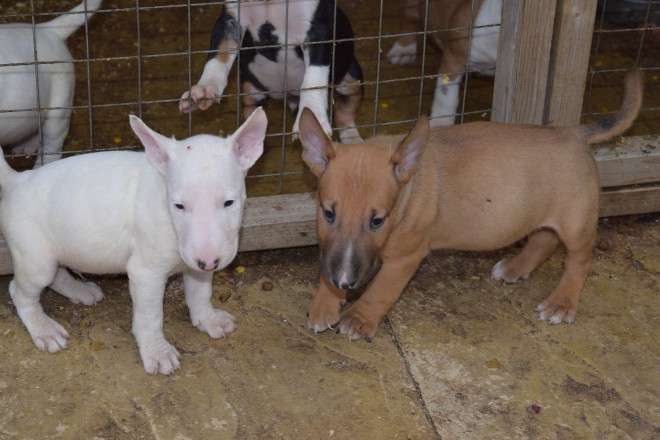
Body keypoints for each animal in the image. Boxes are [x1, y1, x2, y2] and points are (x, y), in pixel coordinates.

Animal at [0, 107, 268, 374]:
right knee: (19, 291)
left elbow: (200, 292)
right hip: (35, 258)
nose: (209, 263)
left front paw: (209, 319)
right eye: (179, 205)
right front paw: (158, 352)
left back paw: (80, 290)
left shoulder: (194, 260)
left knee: (57, 274)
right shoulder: (144, 273)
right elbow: (150, 316)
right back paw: (45, 330)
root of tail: (18, 180)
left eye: (229, 202)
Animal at [178, 0, 364, 142]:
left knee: (345, 113)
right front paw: (204, 89)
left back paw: (352, 141)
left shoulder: (317, 31)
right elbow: (218, 56)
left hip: (351, 79)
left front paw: (313, 115)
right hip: (250, 92)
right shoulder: (230, 20)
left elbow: (313, 81)